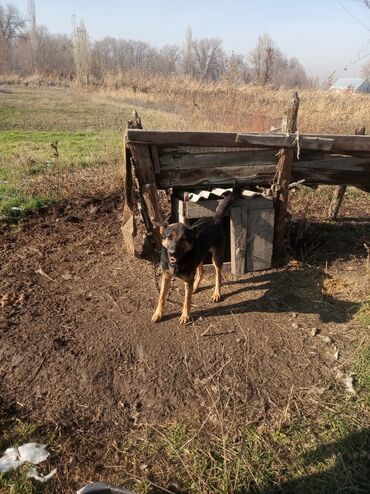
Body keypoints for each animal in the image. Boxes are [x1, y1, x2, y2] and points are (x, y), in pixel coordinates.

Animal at [151, 181, 243, 324]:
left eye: (183, 239)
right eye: (169, 237)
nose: (172, 253)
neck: (178, 263)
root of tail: (214, 220)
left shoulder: (187, 280)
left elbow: (187, 300)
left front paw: (185, 315)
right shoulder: (165, 277)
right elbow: (161, 297)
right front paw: (158, 313)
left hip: (216, 258)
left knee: (218, 275)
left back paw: (216, 293)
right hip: (199, 256)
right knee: (201, 271)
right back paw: (195, 287)